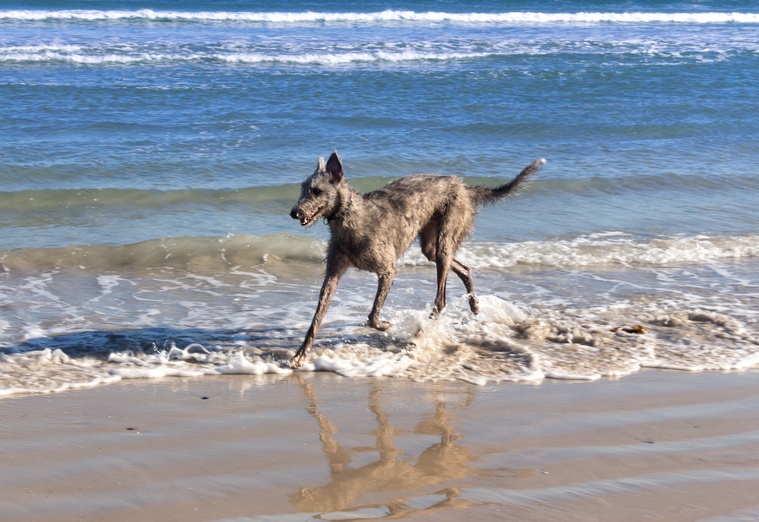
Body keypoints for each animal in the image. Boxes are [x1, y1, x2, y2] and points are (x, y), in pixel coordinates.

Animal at [288, 150, 544, 366]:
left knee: (441, 299)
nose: (294, 213)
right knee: (464, 268)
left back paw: (420, 334)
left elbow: (372, 315)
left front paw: (385, 325)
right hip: (432, 245)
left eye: (317, 191)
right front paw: (300, 354)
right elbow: (317, 317)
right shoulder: (333, 274)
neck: (350, 218)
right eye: (303, 189)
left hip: (447, 234)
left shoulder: (388, 268)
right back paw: (473, 304)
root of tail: (463, 185)